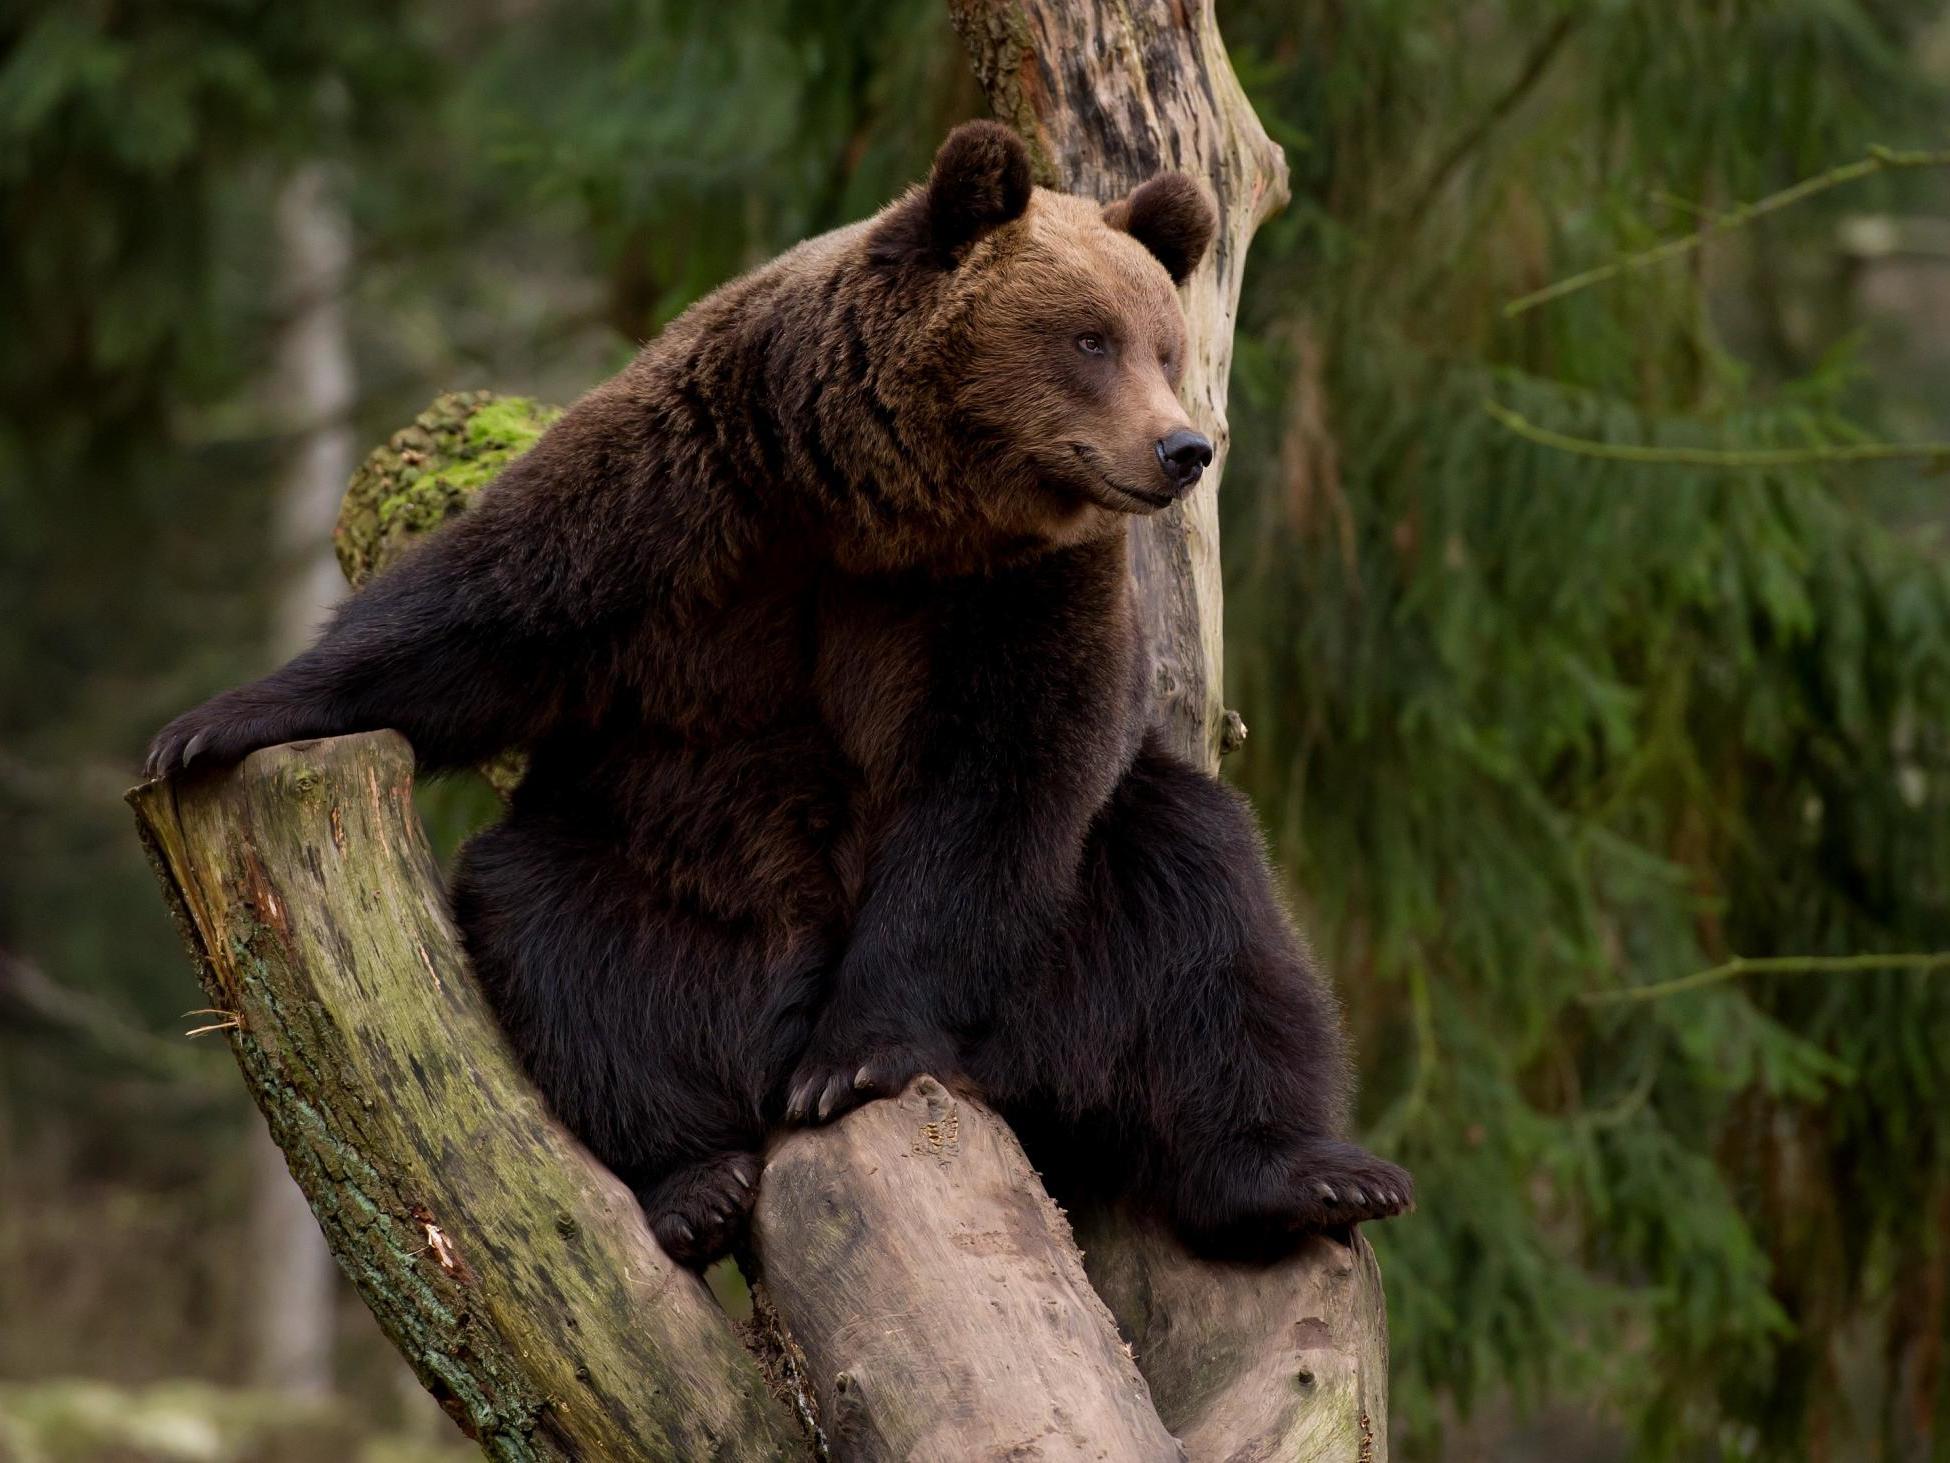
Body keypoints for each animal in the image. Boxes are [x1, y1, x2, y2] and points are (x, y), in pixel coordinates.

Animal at [144, 123, 1411, 1271]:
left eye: (1164, 345)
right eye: (1089, 338)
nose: (1183, 448)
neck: (882, 508)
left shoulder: (1023, 596)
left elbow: (1003, 782)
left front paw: (855, 1050)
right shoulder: (693, 487)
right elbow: (485, 615)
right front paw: (211, 723)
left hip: (1070, 936)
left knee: (1212, 925)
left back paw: (1309, 1173)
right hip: (666, 877)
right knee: (554, 939)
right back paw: (692, 1177)